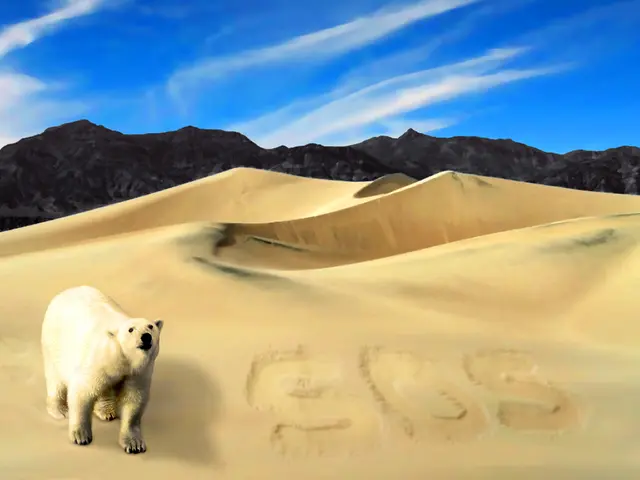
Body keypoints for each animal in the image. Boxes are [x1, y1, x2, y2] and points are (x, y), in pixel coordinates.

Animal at [41, 285, 164, 454]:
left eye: (150, 326)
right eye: (131, 330)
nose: (146, 337)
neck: (121, 357)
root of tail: (65, 292)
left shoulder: (138, 372)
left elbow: (133, 400)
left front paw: (134, 444)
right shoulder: (95, 361)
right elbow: (82, 392)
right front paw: (80, 436)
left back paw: (106, 411)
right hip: (54, 344)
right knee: (56, 378)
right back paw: (59, 410)